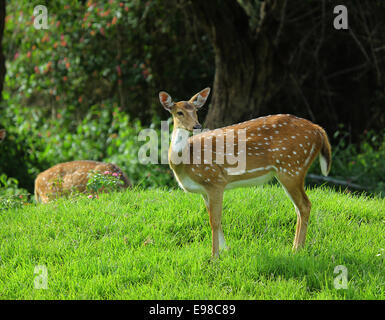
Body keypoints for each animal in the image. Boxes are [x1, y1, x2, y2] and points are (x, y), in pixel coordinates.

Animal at [158, 87, 330, 258]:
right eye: (179, 112)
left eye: (195, 111)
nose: (196, 126)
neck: (186, 164)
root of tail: (319, 130)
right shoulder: (204, 190)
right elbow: (214, 219)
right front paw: (226, 250)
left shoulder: (215, 180)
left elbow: (214, 220)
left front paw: (215, 256)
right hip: (291, 169)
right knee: (298, 207)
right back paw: (296, 247)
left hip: (292, 167)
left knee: (305, 205)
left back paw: (297, 250)